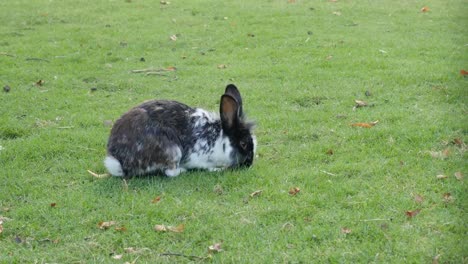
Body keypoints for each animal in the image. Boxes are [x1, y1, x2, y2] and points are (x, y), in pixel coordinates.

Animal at [104, 84, 256, 177]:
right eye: (243, 144)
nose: (249, 163)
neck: (219, 138)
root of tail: (121, 163)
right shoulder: (199, 158)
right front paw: (218, 169)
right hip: (172, 151)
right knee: (170, 172)